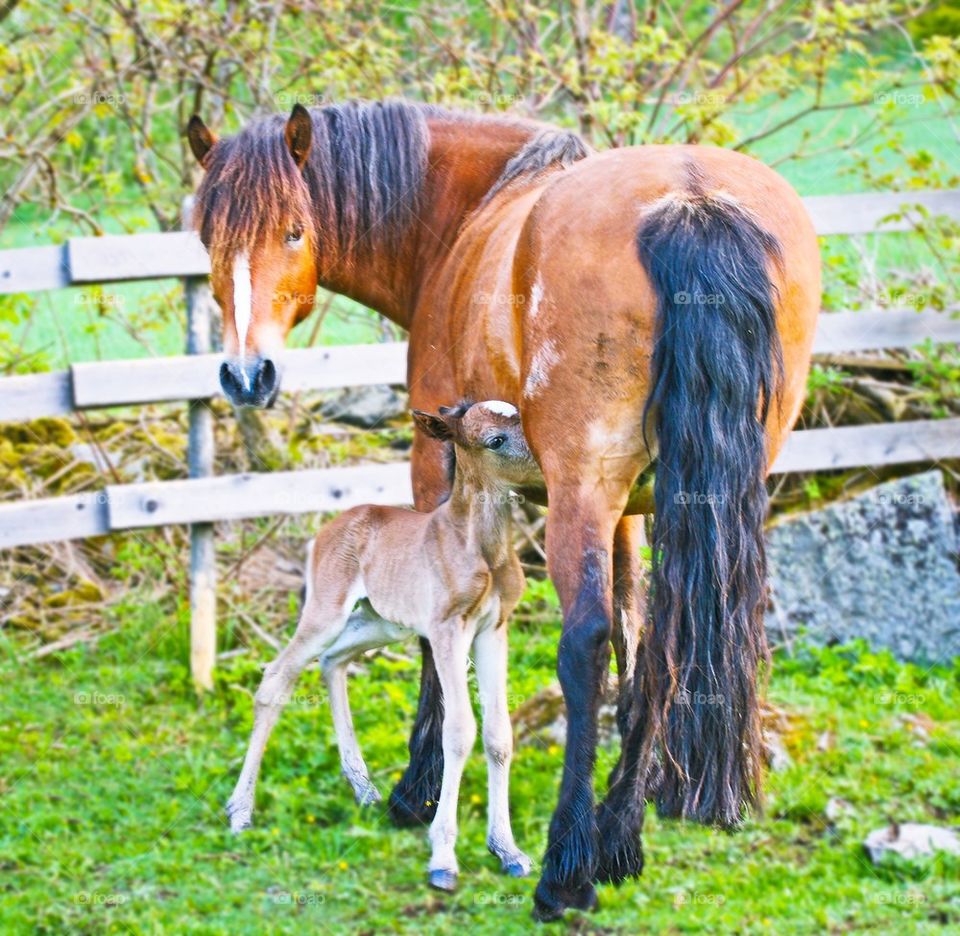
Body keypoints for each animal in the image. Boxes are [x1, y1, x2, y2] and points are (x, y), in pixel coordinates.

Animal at [227, 398, 540, 888]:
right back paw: (240, 812)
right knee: (278, 676)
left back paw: (364, 787)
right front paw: (443, 858)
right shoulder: (447, 629)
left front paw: (508, 850)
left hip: (383, 623)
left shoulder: (494, 628)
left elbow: (498, 734)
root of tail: (324, 532)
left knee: (332, 661)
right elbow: (458, 730)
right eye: (495, 440)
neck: (480, 547)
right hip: (327, 610)